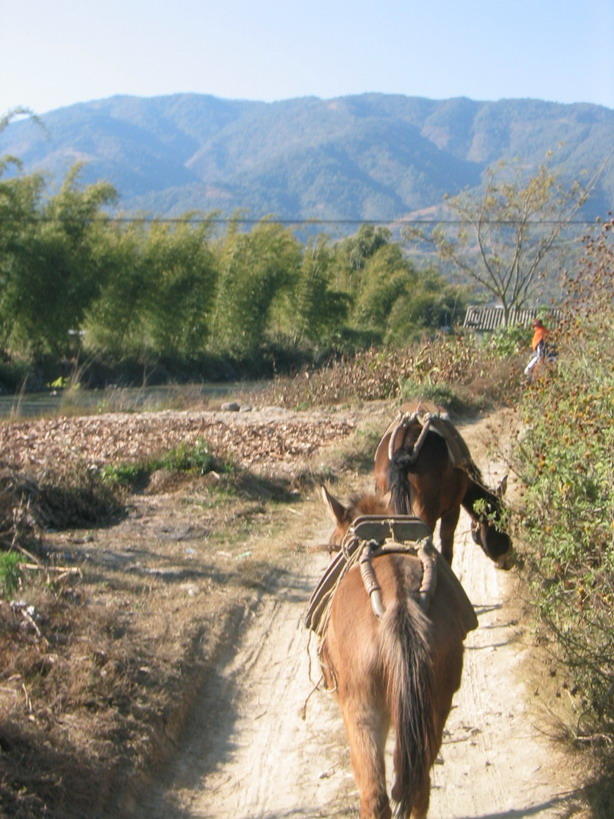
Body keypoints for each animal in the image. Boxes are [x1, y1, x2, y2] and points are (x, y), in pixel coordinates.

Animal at [316, 490, 484, 816]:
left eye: (333, 545)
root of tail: (400, 604)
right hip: (434, 708)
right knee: (419, 788)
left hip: (362, 710)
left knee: (374, 794)